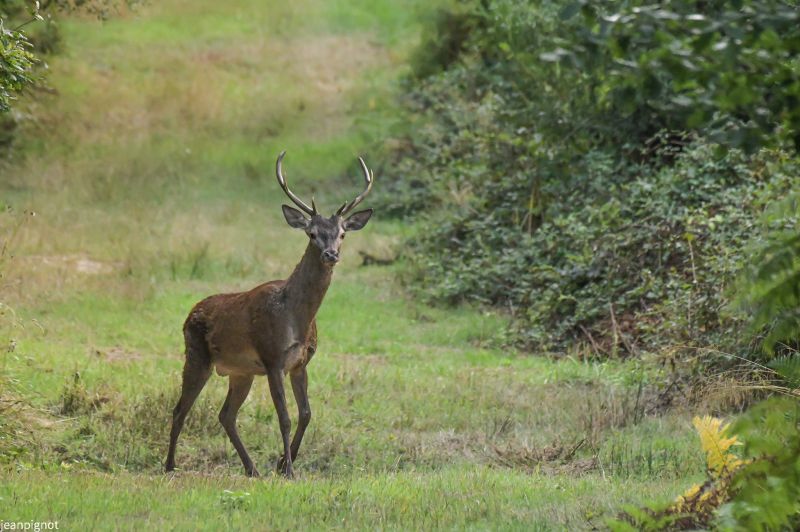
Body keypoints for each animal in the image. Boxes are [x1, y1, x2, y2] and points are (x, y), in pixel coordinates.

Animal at [165, 150, 376, 478]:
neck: (296, 320)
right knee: (180, 409)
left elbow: (306, 413)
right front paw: (288, 469)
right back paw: (170, 465)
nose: (331, 254)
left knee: (226, 414)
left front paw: (282, 463)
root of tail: (190, 314)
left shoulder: (300, 362)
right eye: (311, 233)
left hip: (240, 371)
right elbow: (285, 417)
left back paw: (251, 468)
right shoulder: (272, 357)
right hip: (197, 354)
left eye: (342, 234)